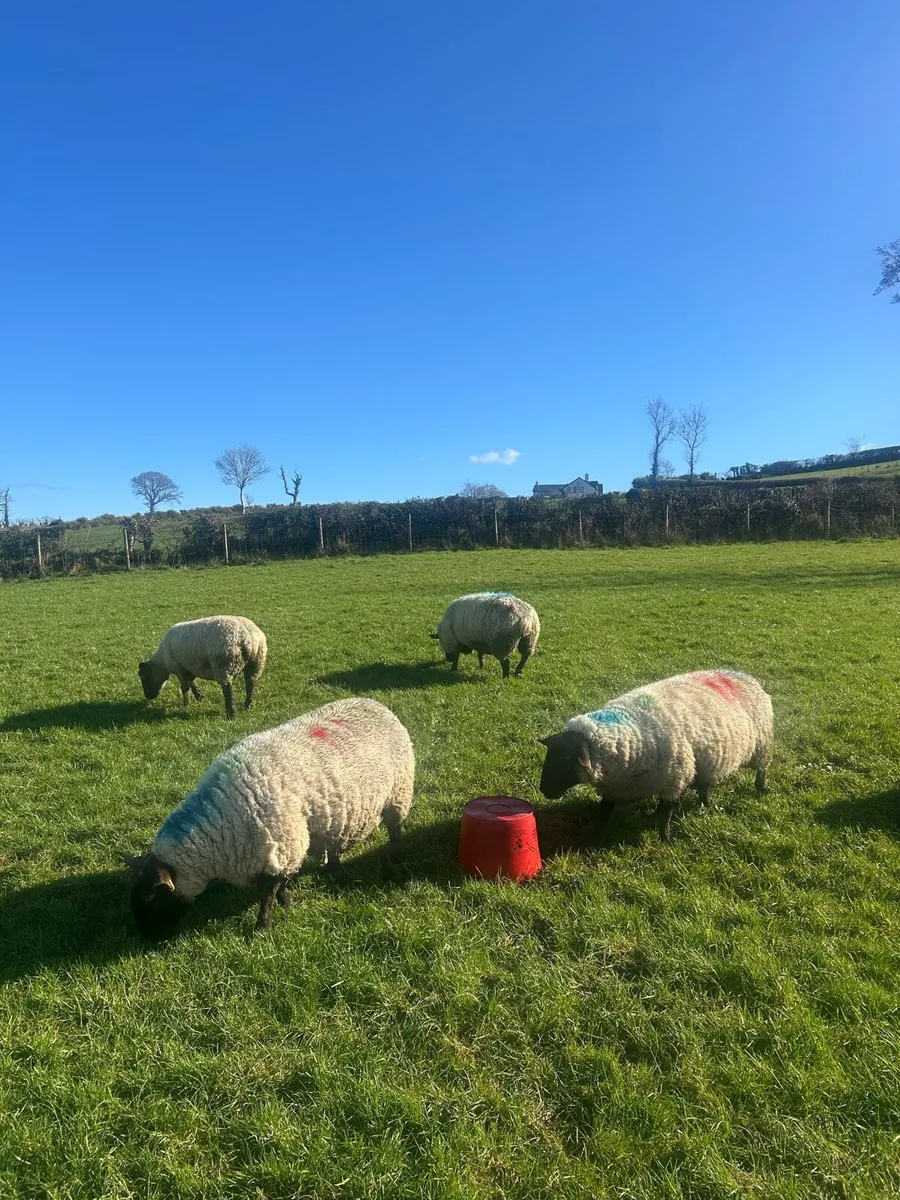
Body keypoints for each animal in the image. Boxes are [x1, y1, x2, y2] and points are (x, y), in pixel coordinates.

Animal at [125, 697, 415, 940]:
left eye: (151, 897)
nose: (148, 940)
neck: (221, 826)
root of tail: (375, 703)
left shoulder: (283, 843)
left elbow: (268, 893)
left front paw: (263, 927)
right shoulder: (275, 851)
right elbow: (278, 885)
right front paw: (287, 902)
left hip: (398, 792)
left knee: (395, 828)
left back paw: (397, 856)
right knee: (334, 842)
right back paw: (332, 868)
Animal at [138, 615, 267, 720]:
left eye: (143, 677)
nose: (148, 697)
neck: (163, 661)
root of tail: (249, 639)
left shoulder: (179, 667)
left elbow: (185, 687)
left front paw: (186, 705)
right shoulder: (190, 666)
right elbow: (191, 682)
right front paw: (199, 696)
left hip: (222, 665)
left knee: (228, 690)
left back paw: (231, 715)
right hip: (256, 663)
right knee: (250, 684)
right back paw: (247, 706)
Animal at [538, 669, 773, 841]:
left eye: (567, 759)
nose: (543, 790)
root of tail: (745, 675)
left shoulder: (673, 779)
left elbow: (665, 813)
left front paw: (665, 838)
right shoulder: (615, 787)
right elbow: (602, 813)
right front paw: (591, 835)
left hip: (760, 745)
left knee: (762, 768)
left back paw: (761, 788)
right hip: (708, 760)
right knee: (706, 785)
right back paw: (705, 803)